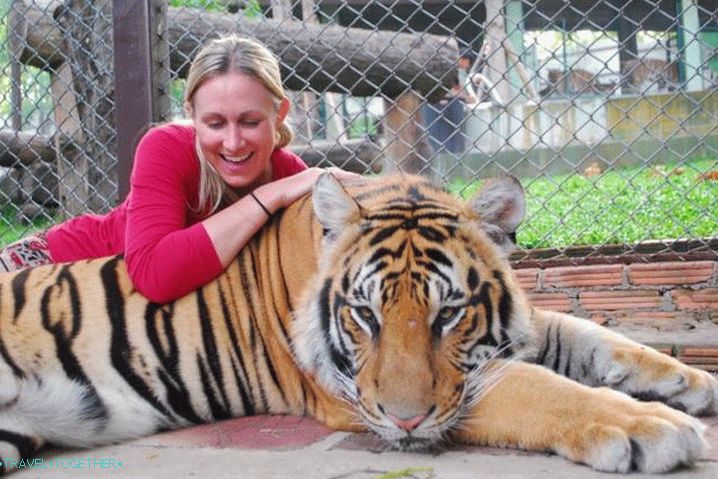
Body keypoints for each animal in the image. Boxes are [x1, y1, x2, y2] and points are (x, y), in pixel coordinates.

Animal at [0, 173, 715, 475]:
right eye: (365, 314)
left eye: (448, 313)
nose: (406, 423)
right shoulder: (352, 395)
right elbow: (532, 385)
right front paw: (648, 426)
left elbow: (591, 336)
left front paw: (689, 383)